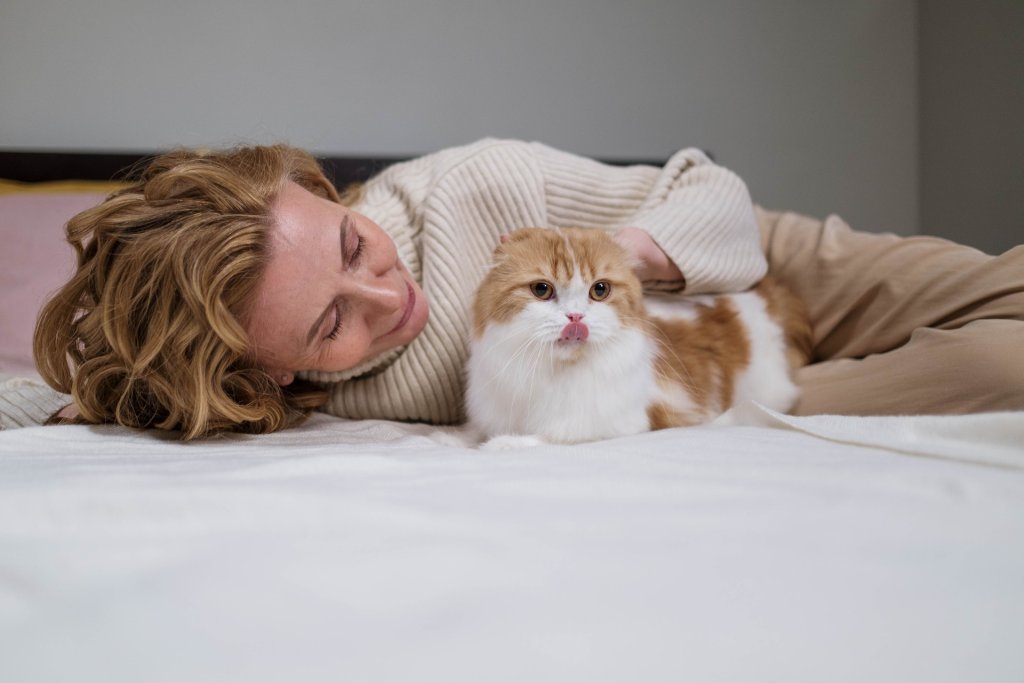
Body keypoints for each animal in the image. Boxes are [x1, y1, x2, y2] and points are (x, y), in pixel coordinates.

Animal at [464, 227, 806, 446]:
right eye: (541, 289)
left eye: (600, 290)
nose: (576, 317)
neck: (553, 372)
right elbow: (471, 432)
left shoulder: (623, 423)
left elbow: (542, 438)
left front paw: (502, 444)